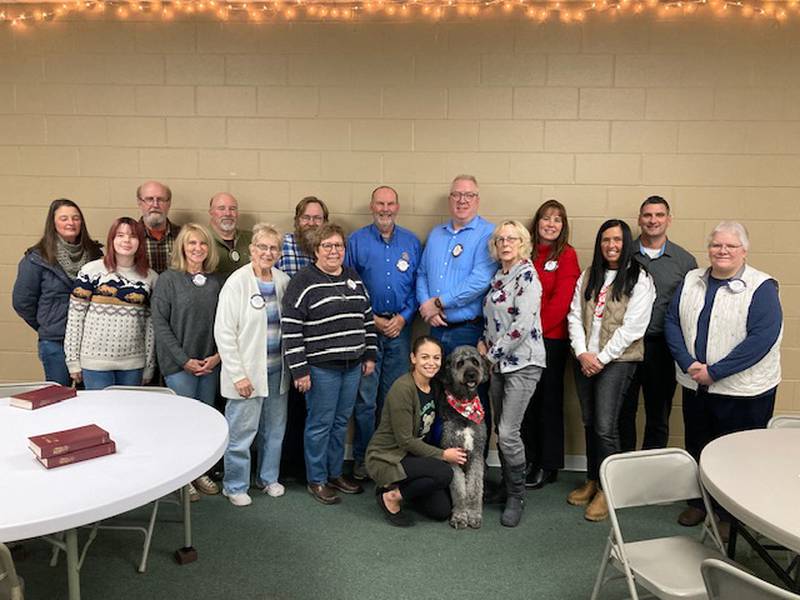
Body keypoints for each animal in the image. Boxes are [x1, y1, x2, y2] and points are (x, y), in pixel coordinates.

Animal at [438, 344, 488, 528]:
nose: (471, 374)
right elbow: (459, 489)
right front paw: (460, 515)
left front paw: (473, 514)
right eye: (460, 363)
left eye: (475, 361)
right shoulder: (452, 454)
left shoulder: (476, 455)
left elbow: (474, 487)